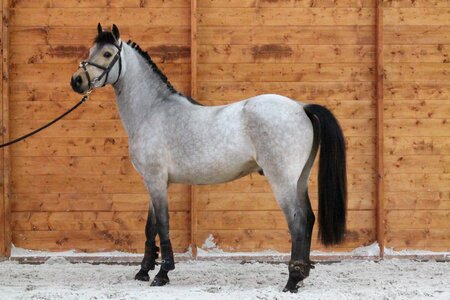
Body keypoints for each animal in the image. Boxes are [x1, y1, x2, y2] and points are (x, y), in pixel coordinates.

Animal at [71, 24, 348, 292]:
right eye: (90, 51)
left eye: (108, 54)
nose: (77, 81)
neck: (153, 111)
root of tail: (301, 107)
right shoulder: (154, 182)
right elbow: (150, 227)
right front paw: (143, 271)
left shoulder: (156, 181)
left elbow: (163, 224)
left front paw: (162, 274)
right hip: (300, 180)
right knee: (309, 218)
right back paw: (301, 276)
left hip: (282, 181)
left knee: (298, 221)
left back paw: (292, 281)